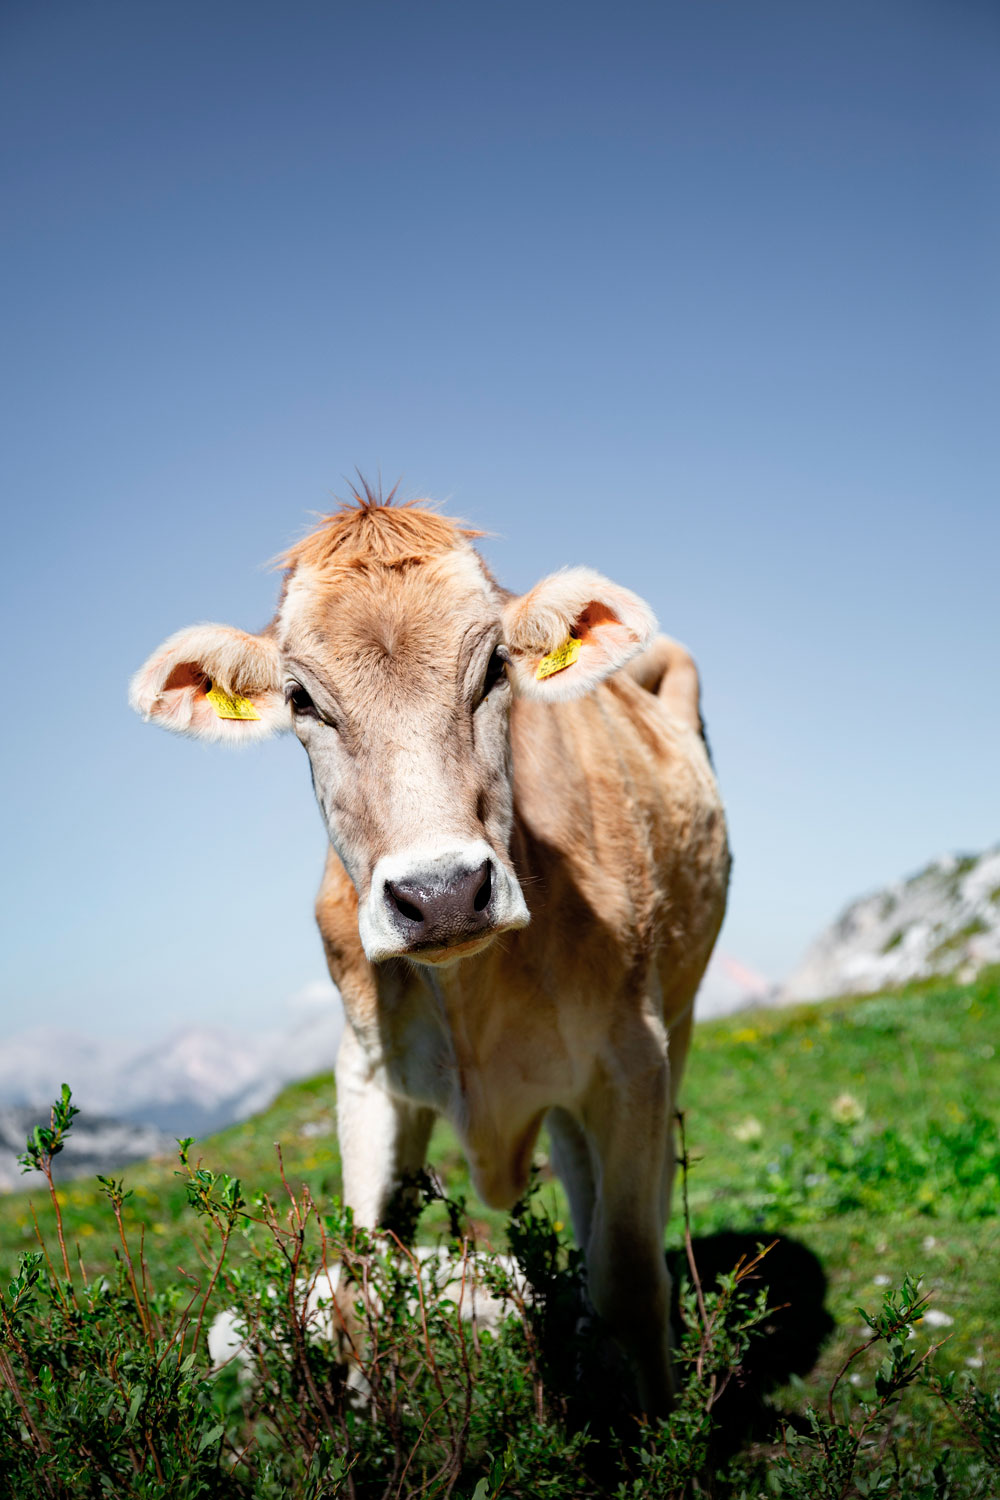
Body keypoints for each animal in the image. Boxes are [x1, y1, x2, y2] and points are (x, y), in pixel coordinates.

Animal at [131, 492, 728, 1416]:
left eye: (494, 670)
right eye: (301, 699)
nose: (442, 892)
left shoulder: (634, 1054)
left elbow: (630, 1275)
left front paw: (662, 1429)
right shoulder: (368, 1071)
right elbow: (361, 1288)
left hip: (684, 1012)